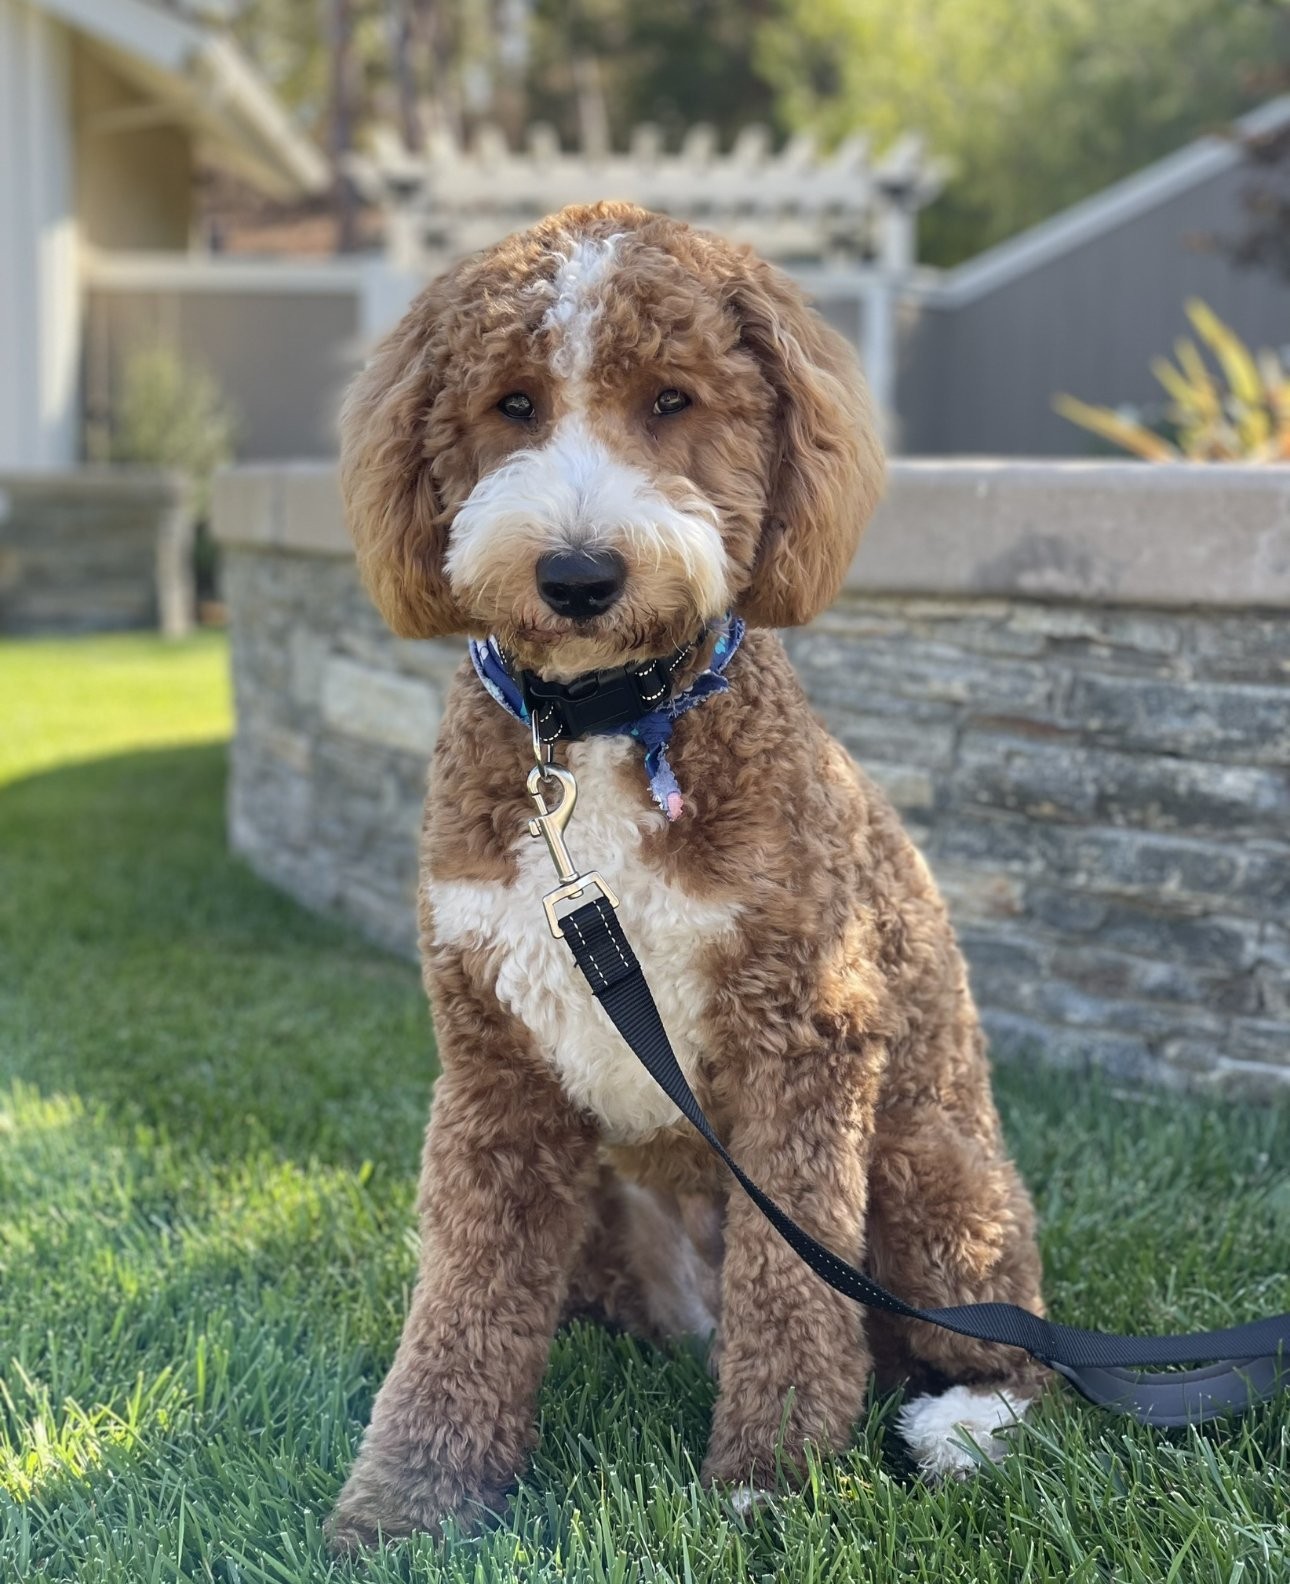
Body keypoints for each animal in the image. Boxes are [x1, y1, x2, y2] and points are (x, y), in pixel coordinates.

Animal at [327, 201, 1047, 1548]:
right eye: (511, 404)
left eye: (672, 399)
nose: (578, 574)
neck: (605, 728)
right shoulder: (495, 1071)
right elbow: (461, 1307)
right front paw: (406, 1506)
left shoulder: (804, 1041)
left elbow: (794, 1300)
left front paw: (770, 1480)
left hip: (931, 1171)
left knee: (1000, 1341)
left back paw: (964, 1425)